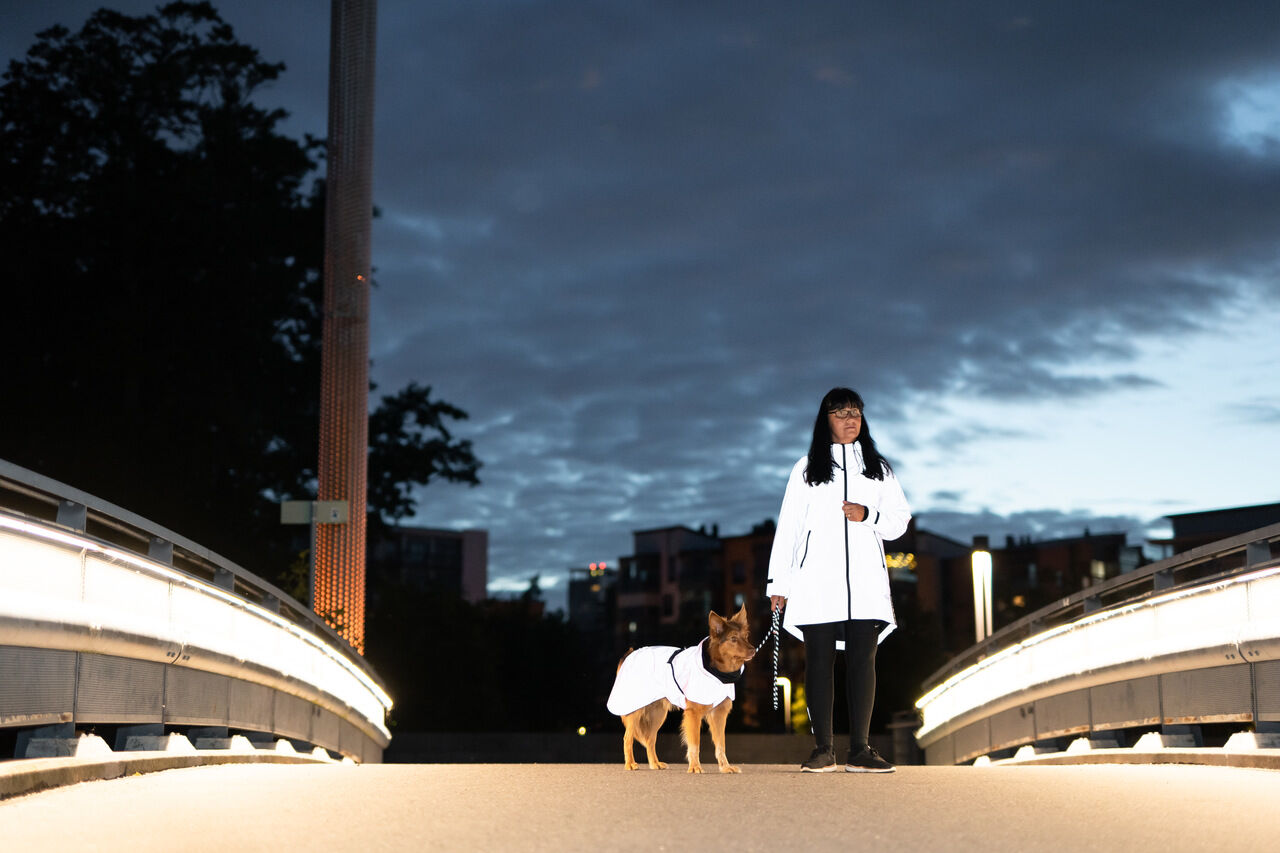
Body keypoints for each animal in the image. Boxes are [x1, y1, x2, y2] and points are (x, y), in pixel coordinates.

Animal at [604, 604, 752, 768]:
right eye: (733, 639)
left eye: (746, 636)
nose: (753, 650)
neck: (718, 672)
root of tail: (628, 656)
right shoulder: (693, 713)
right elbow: (695, 743)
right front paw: (695, 767)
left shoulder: (719, 713)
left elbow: (721, 743)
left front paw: (725, 768)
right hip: (635, 710)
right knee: (627, 738)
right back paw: (630, 763)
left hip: (658, 713)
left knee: (650, 739)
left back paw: (654, 764)